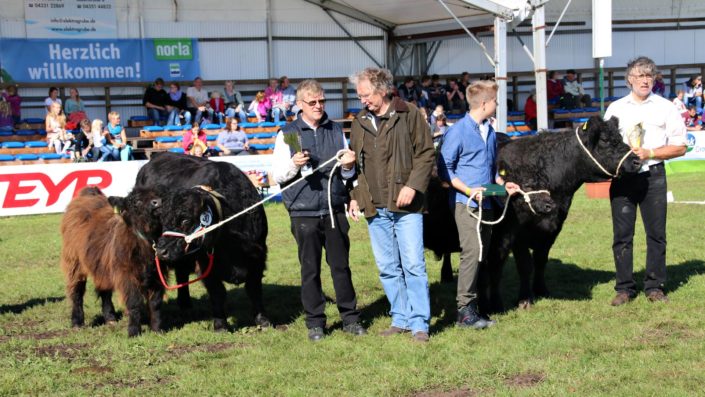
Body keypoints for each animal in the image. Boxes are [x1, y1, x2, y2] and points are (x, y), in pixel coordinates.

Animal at [60, 187, 164, 336]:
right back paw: (77, 322)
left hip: (102, 265)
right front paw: (134, 332)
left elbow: (155, 303)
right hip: (74, 262)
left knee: (104, 290)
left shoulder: (158, 273)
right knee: (77, 291)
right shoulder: (127, 274)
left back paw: (110, 318)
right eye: (136, 201)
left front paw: (157, 330)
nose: (157, 202)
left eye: (156, 194)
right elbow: (134, 302)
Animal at [424, 116, 644, 310]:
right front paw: (524, 299)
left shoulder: (553, 228)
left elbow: (540, 260)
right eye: (606, 140)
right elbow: (525, 265)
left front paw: (541, 289)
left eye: (621, 137)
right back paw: (446, 274)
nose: (636, 160)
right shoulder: (518, 234)